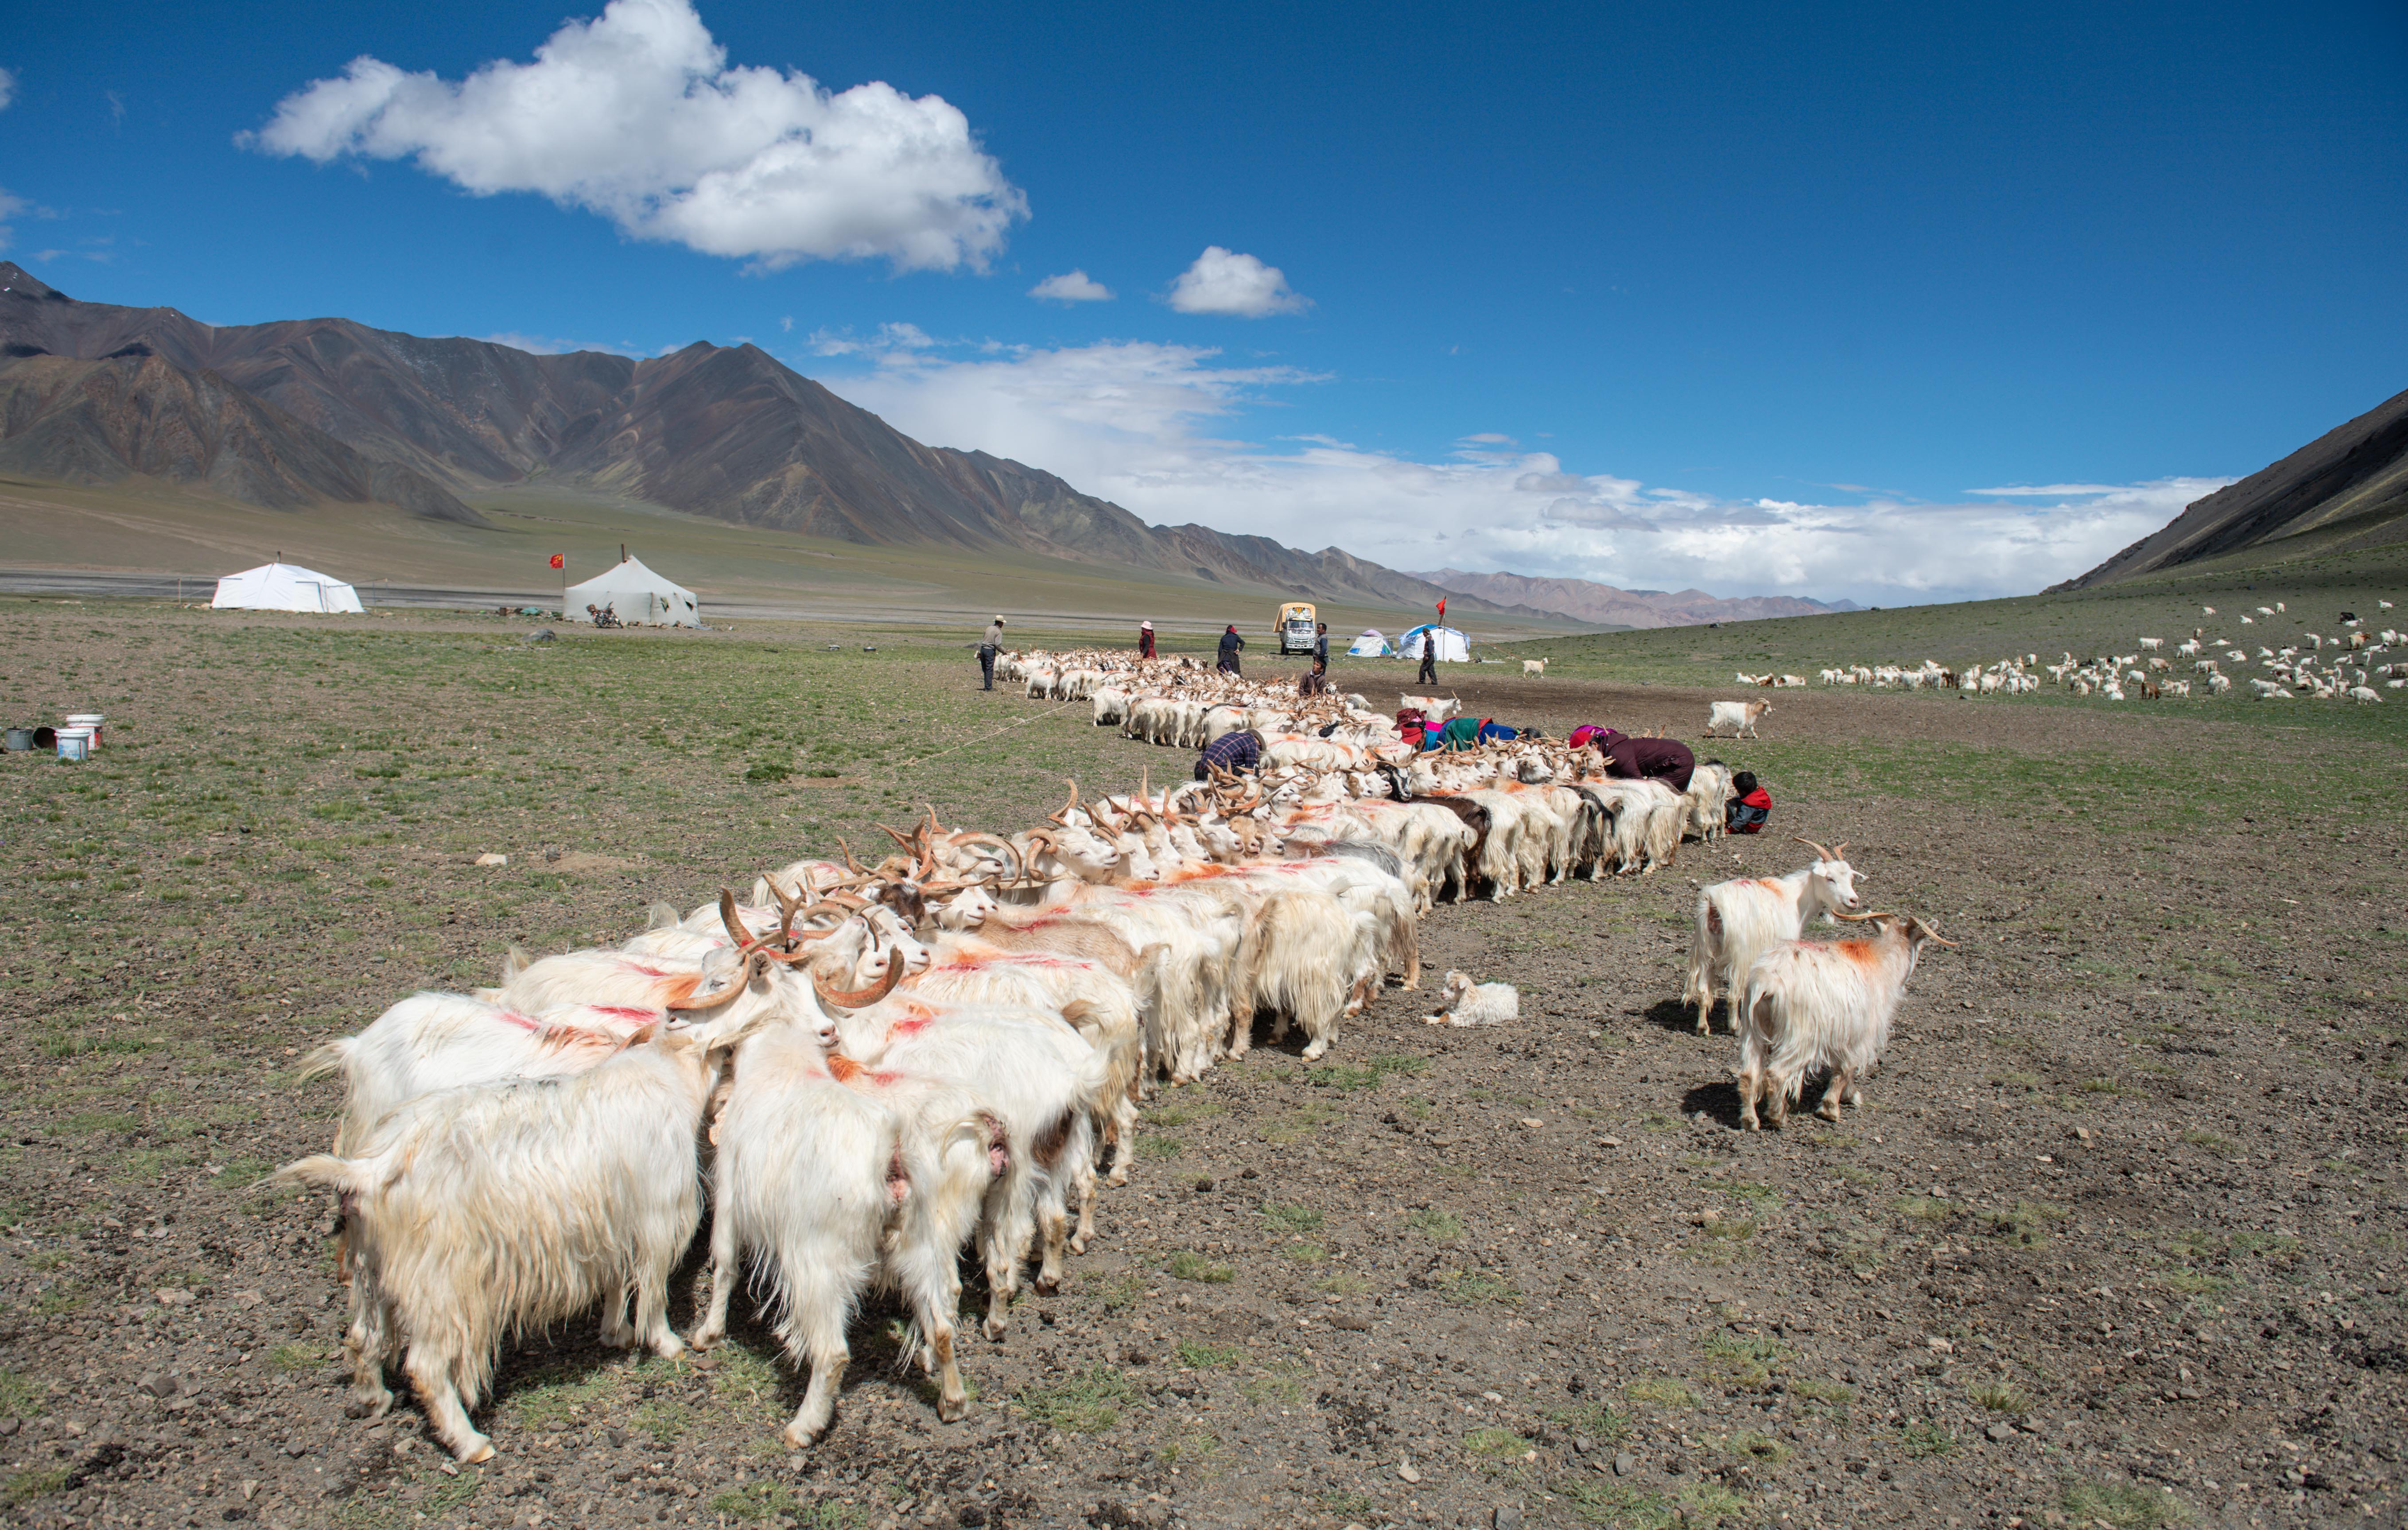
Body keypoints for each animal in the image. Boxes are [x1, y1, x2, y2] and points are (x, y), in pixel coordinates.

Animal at [1686, 843, 1868, 1036]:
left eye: (1850, 878)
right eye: (1830, 878)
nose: (1853, 901)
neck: (1794, 899)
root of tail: (1714, 904)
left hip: (1705, 951)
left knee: (1702, 991)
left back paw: (1703, 1028)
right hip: (1739, 956)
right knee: (1733, 995)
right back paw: (1735, 1027)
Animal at [1743, 915, 1946, 1132]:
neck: (1883, 963)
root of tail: (1767, 981)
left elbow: (1844, 1068)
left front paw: (1850, 1096)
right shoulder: (1861, 1034)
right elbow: (1846, 1068)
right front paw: (1831, 1108)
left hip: (1752, 1028)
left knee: (1749, 1074)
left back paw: (1749, 1120)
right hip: (1801, 1038)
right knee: (1776, 1074)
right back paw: (1778, 1117)